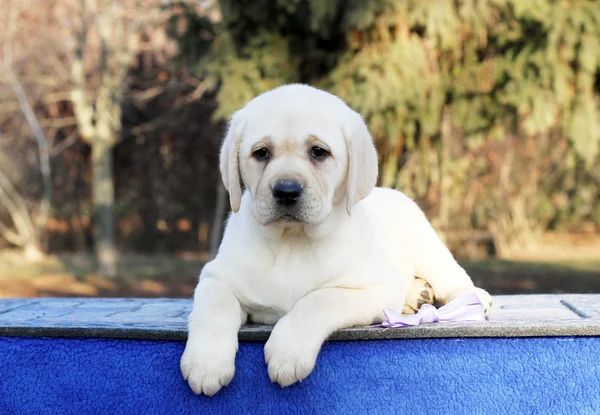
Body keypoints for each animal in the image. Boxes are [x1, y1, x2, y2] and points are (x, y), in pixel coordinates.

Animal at [179, 83, 492, 396]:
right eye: (261, 153)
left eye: (319, 152)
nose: (286, 190)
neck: (291, 241)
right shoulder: (216, 277)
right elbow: (213, 308)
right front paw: (206, 363)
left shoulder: (372, 289)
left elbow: (319, 299)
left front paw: (288, 352)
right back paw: (415, 297)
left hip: (426, 245)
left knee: (451, 276)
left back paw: (473, 298)